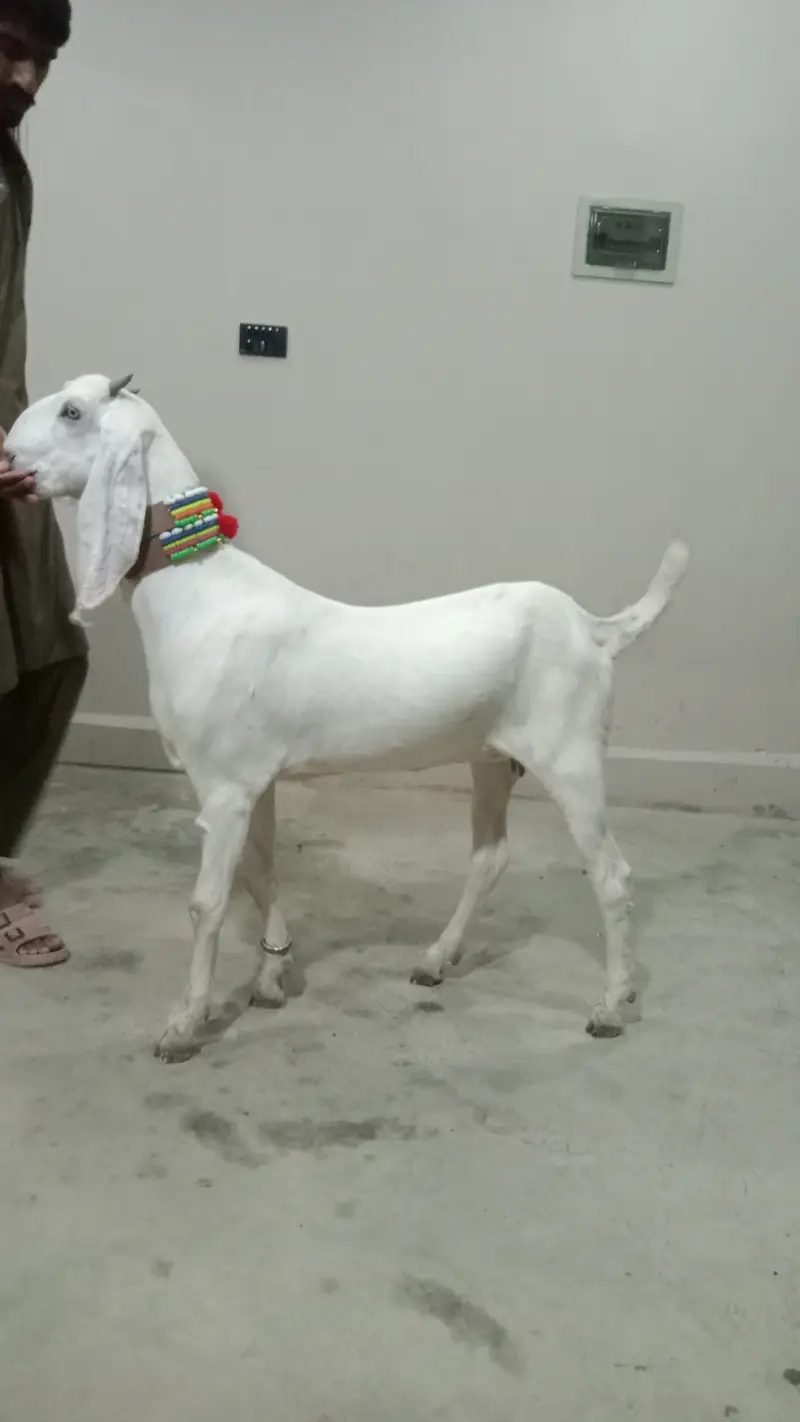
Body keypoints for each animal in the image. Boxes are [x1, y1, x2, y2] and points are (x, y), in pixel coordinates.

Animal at [7, 374, 688, 1061]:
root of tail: (595, 628)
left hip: (571, 753)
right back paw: (437, 959)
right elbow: (261, 873)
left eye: (73, 412)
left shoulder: (222, 788)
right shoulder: (254, 779)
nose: (8, 454)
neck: (200, 592)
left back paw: (612, 1004)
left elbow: (207, 904)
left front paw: (184, 1024)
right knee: (489, 857)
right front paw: (273, 976)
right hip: (492, 756)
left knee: (611, 874)